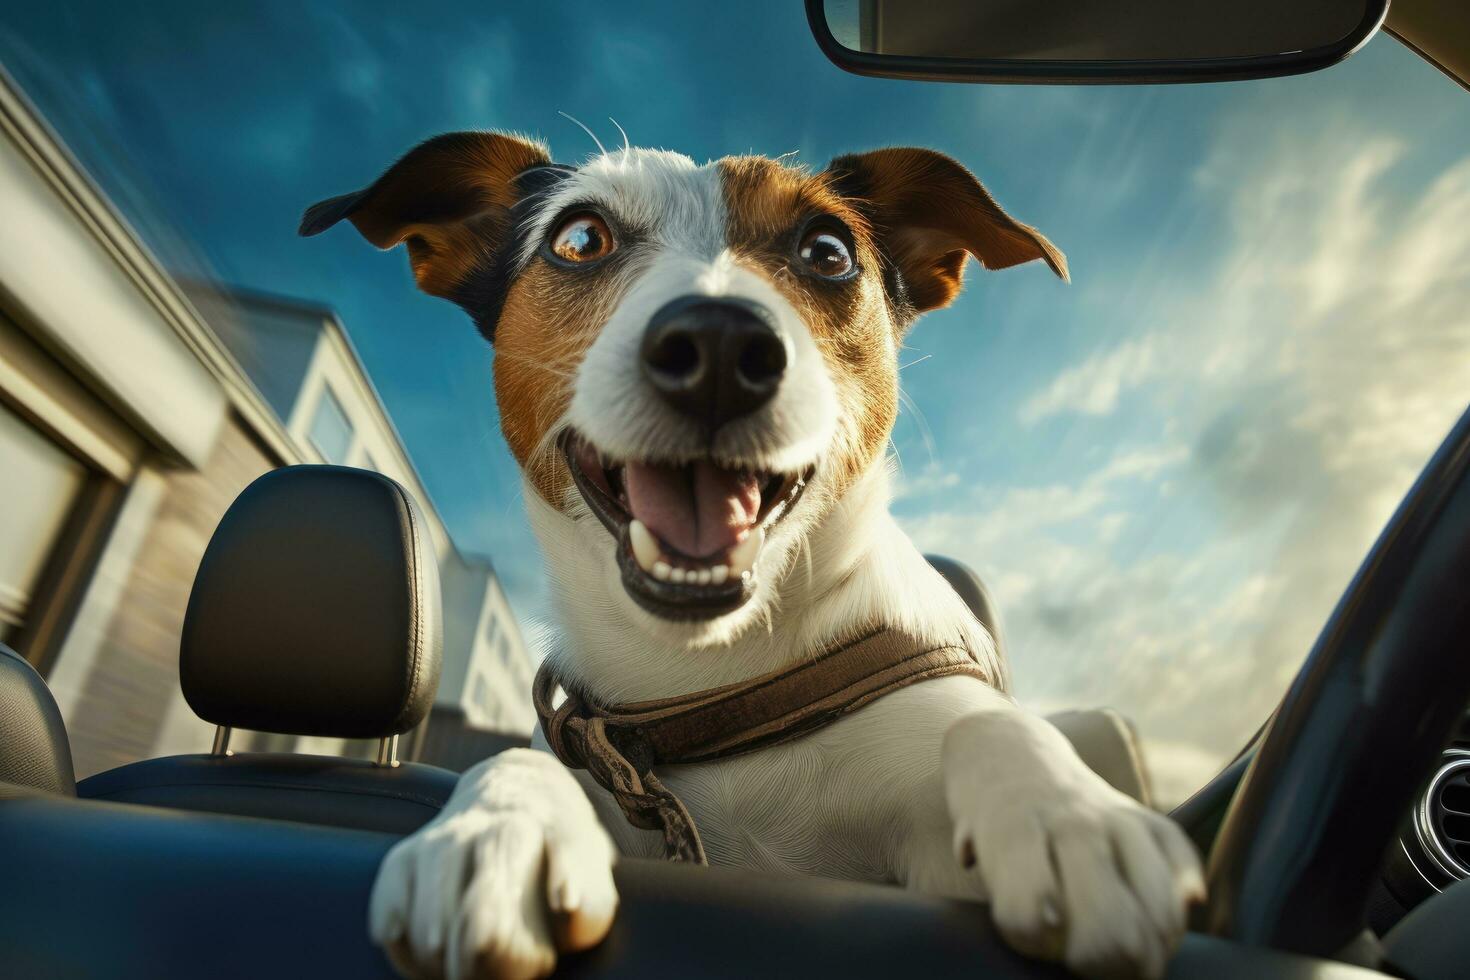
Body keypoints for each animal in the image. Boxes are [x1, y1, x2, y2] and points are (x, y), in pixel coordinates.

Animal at [301, 132, 1205, 980]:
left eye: (828, 251)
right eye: (580, 238)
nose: (718, 345)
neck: (712, 679)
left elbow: (987, 724)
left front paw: (1069, 813)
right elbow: (521, 761)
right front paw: (496, 827)